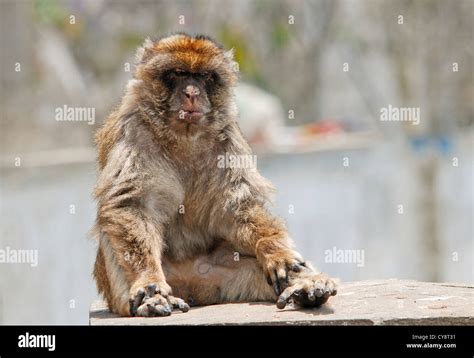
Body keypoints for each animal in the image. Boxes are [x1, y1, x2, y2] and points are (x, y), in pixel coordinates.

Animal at [92, 32, 336, 314]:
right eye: (178, 73)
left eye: (205, 76)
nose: (192, 92)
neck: (182, 136)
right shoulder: (133, 130)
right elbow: (131, 205)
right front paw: (147, 281)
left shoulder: (227, 139)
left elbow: (239, 206)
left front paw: (276, 253)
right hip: (117, 291)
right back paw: (151, 302)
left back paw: (307, 287)